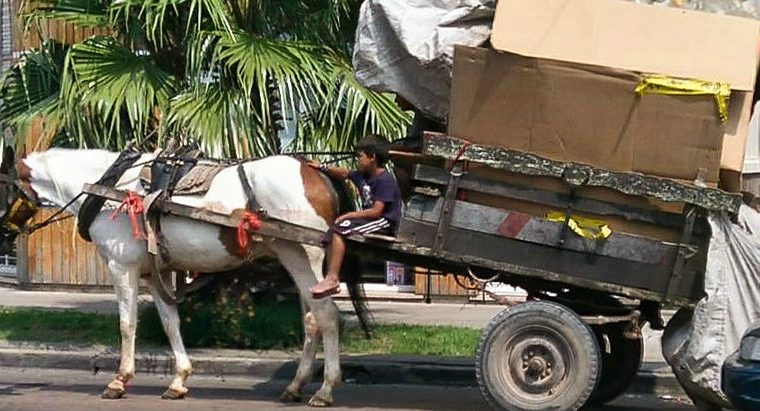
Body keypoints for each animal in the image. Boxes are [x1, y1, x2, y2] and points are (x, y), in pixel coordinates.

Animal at [11, 147, 350, 406]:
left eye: (6, 185)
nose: (7, 233)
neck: (110, 191)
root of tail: (315, 171)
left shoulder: (122, 266)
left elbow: (127, 324)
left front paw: (119, 380)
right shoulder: (155, 272)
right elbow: (170, 322)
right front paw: (178, 380)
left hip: (305, 255)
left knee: (326, 315)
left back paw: (324, 389)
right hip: (293, 258)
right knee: (310, 319)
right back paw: (296, 386)